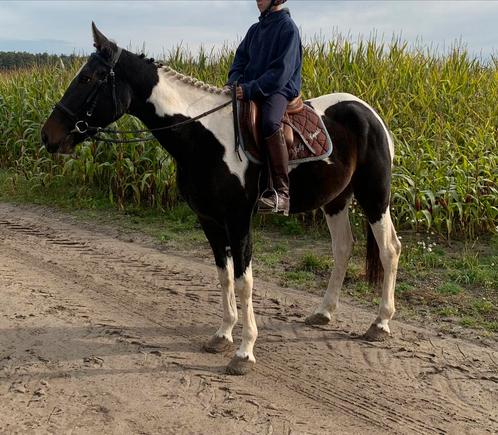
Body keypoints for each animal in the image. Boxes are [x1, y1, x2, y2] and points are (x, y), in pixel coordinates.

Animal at [40, 24, 402, 378]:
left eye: (89, 78)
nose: (48, 136)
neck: (204, 138)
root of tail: (368, 112)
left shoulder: (238, 220)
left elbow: (244, 281)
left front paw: (245, 351)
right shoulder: (210, 220)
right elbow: (224, 275)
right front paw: (223, 335)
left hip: (374, 196)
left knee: (389, 249)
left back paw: (380, 323)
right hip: (335, 200)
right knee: (342, 248)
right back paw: (324, 312)